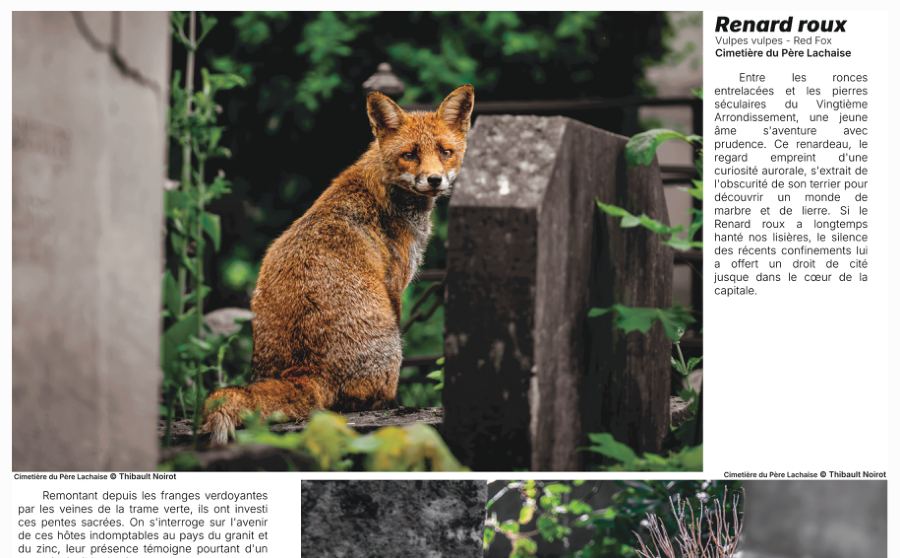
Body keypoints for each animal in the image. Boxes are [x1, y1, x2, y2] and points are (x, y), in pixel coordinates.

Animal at [202, 84, 475, 445]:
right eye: (410, 154)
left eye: (445, 152)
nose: (434, 180)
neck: (387, 189)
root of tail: (303, 370)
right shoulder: (395, 284)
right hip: (390, 341)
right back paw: (390, 404)